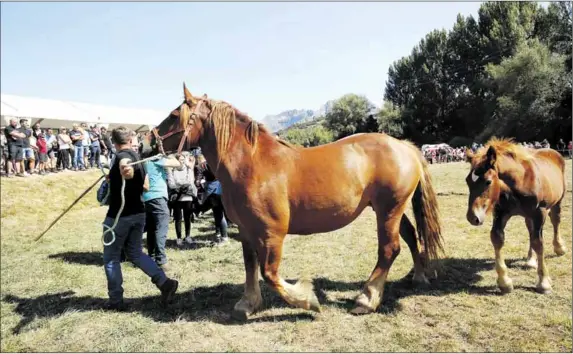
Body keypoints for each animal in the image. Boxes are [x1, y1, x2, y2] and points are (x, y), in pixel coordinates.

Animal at [144, 83, 442, 320]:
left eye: (173, 116)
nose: (147, 142)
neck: (252, 163)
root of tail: (404, 146)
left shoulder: (272, 233)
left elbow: (270, 273)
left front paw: (307, 300)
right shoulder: (246, 230)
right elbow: (251, 266)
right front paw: (248, 303)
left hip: (388, 210)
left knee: (389, 249)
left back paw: (366, 299)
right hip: (391, 209)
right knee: (411, 236)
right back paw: (418, 276)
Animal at [464, 137, 568, 294]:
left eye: (488, 181)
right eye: (467, 181)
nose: (472, 217)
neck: (520, 181)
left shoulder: (540, 212)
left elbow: (539, 243)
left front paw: (543, 282)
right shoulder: (500, 212)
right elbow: (497, 238)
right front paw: (504, 282)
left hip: (557, 201)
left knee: (556, 221)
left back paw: (559, 248)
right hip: (528, 215)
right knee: (530, 231)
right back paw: (530, 260)